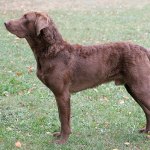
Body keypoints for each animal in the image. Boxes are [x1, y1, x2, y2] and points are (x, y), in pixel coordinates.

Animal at [4, 11, 150, 143]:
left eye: (25, 17)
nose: (5, 22)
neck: (52, 50)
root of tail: (144, 50)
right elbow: (64, 118)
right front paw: (60, 136)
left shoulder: (62, 93)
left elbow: (63, 118)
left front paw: (62, 141)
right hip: (132, 88)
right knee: (147, 111)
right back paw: (146, 131)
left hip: (140, 87)